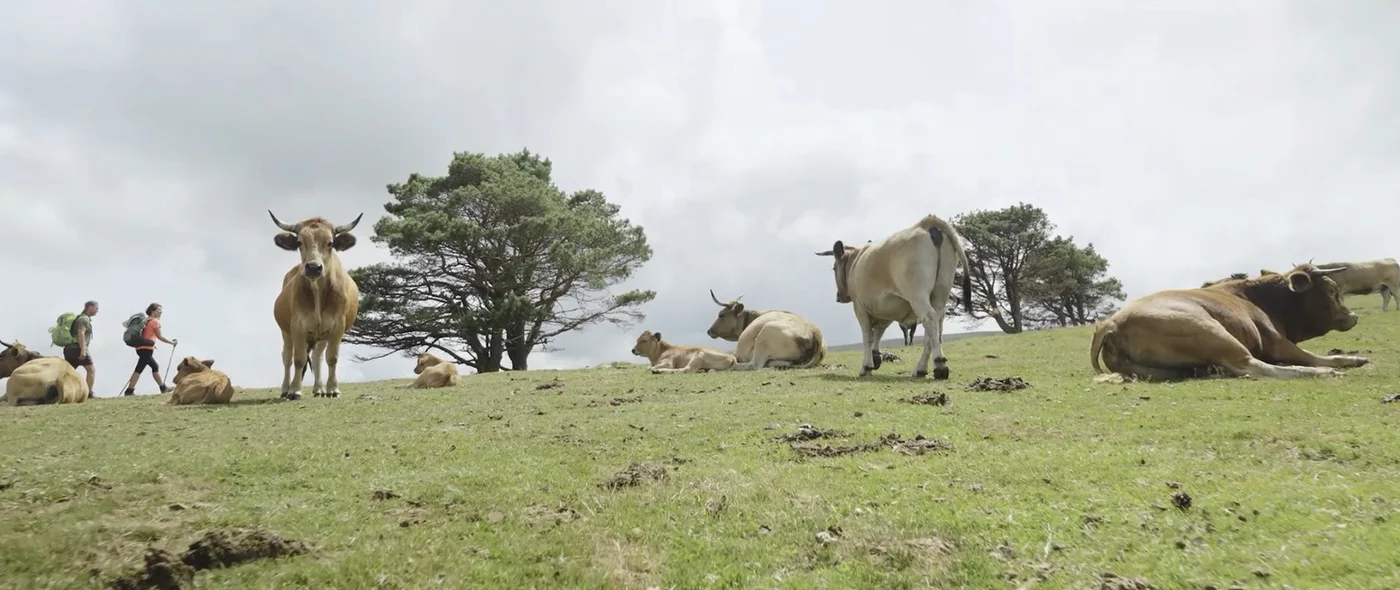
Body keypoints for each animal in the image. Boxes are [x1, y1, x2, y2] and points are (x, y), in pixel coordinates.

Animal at [817, 214, 968, 378]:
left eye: (833, 268)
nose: (839, 296)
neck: (856, 261)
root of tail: (925, 223)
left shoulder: (859, 306)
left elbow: (867, 335)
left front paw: (867, 366)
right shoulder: (886, 308)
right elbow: (879, 331)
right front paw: (876, 357)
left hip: (917, 295)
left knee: (929, 318)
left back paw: (940, 365)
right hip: (940, 293)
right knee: (934, 325)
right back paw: (921, 368)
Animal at [1092, 263, 1366, 381]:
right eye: (1332, 291)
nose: (1354, 317)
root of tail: (1111, 323)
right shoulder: (1277, 342)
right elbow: (1314, 356)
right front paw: (1349, 360)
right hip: (1214, 332)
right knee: (1253, 366)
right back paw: (1321, 373)